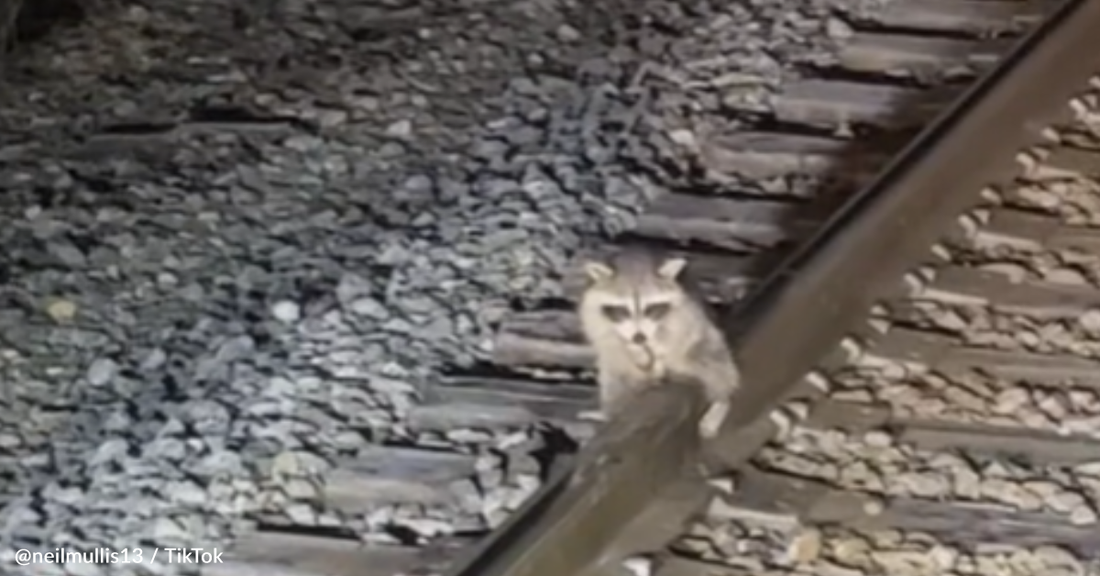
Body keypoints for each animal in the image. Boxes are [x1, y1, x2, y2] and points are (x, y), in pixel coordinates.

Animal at [576, 249, 739, 439]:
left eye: (651, 308)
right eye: (623, 310)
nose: (639, 338)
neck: (634, 262)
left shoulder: (685, 309)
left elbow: (676, 332)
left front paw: (658, 348)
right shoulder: (593, 311)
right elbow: (606, 338)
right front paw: (633, 348)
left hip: (703, 345)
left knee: (714, 365)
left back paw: (721, 401)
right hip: (619, 371)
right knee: (613, 380)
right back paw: (608, 413)